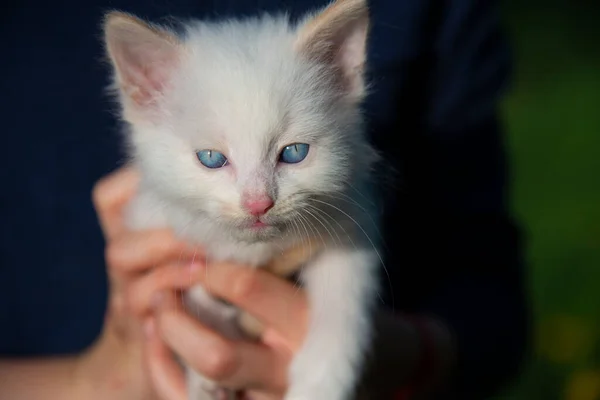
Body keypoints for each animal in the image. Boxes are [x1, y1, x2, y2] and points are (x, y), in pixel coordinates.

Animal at [103, 1, 382, 398]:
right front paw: (204, 374)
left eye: (294, 152)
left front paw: (322, 379)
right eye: (211, 158)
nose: (258, 204)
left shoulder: (349, 222)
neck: (254, 249)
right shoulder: (154, 224)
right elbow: (189, 287)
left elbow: (344, 300)